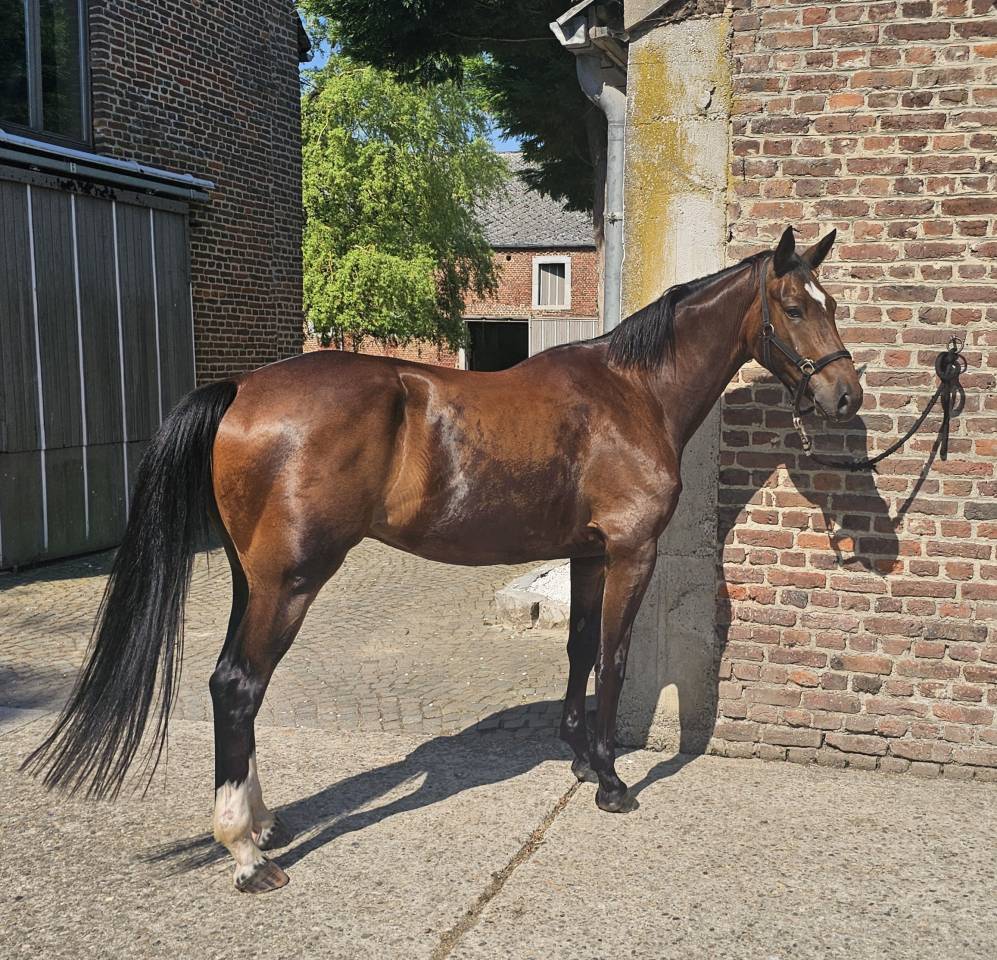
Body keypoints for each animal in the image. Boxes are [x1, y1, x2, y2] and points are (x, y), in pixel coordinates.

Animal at [24, 225, 862, 893]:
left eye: (830, 302)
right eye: (795, 307)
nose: (845, 396)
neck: (630, 394)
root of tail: (240, 390)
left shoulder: (587, 556)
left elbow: (577, 650)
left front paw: (580, 760)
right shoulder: (630, 554)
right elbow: (614, 660)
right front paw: (611, 780)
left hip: (248, 578)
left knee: (236, 688)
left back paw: (262, 826)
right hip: (290, 581)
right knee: (237, 686)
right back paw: (247, 856)